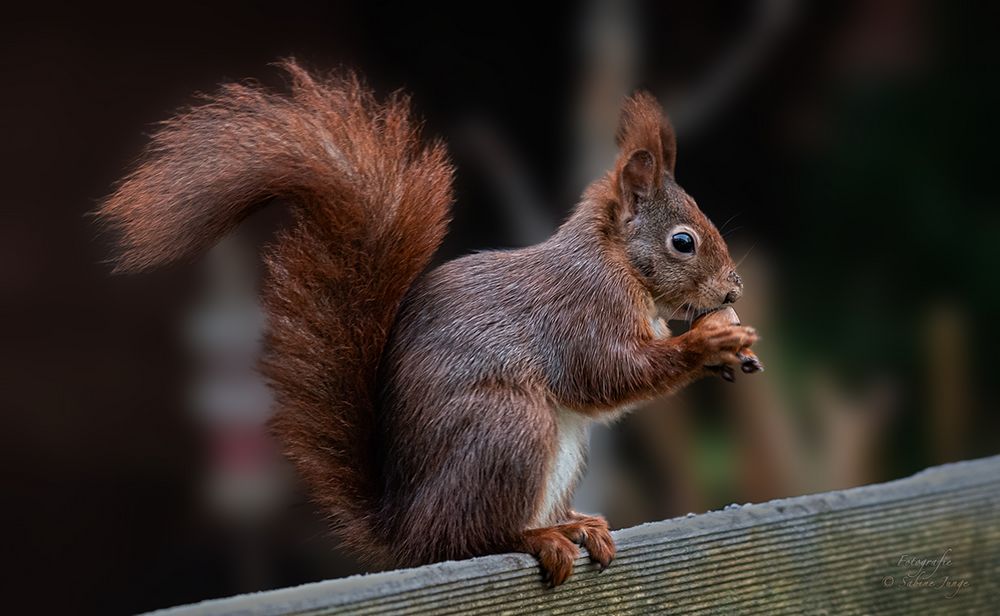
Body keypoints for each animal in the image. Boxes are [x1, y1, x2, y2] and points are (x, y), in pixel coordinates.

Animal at [99, 60, 756, 584]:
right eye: (683, 242)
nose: (733, 288)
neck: (615, 260)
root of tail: (405, 528)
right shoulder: (581, 312)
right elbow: (609, 374)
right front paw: (709, 341)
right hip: (509, 427)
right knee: (469, 539)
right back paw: (538, 536)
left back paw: (575, 525)